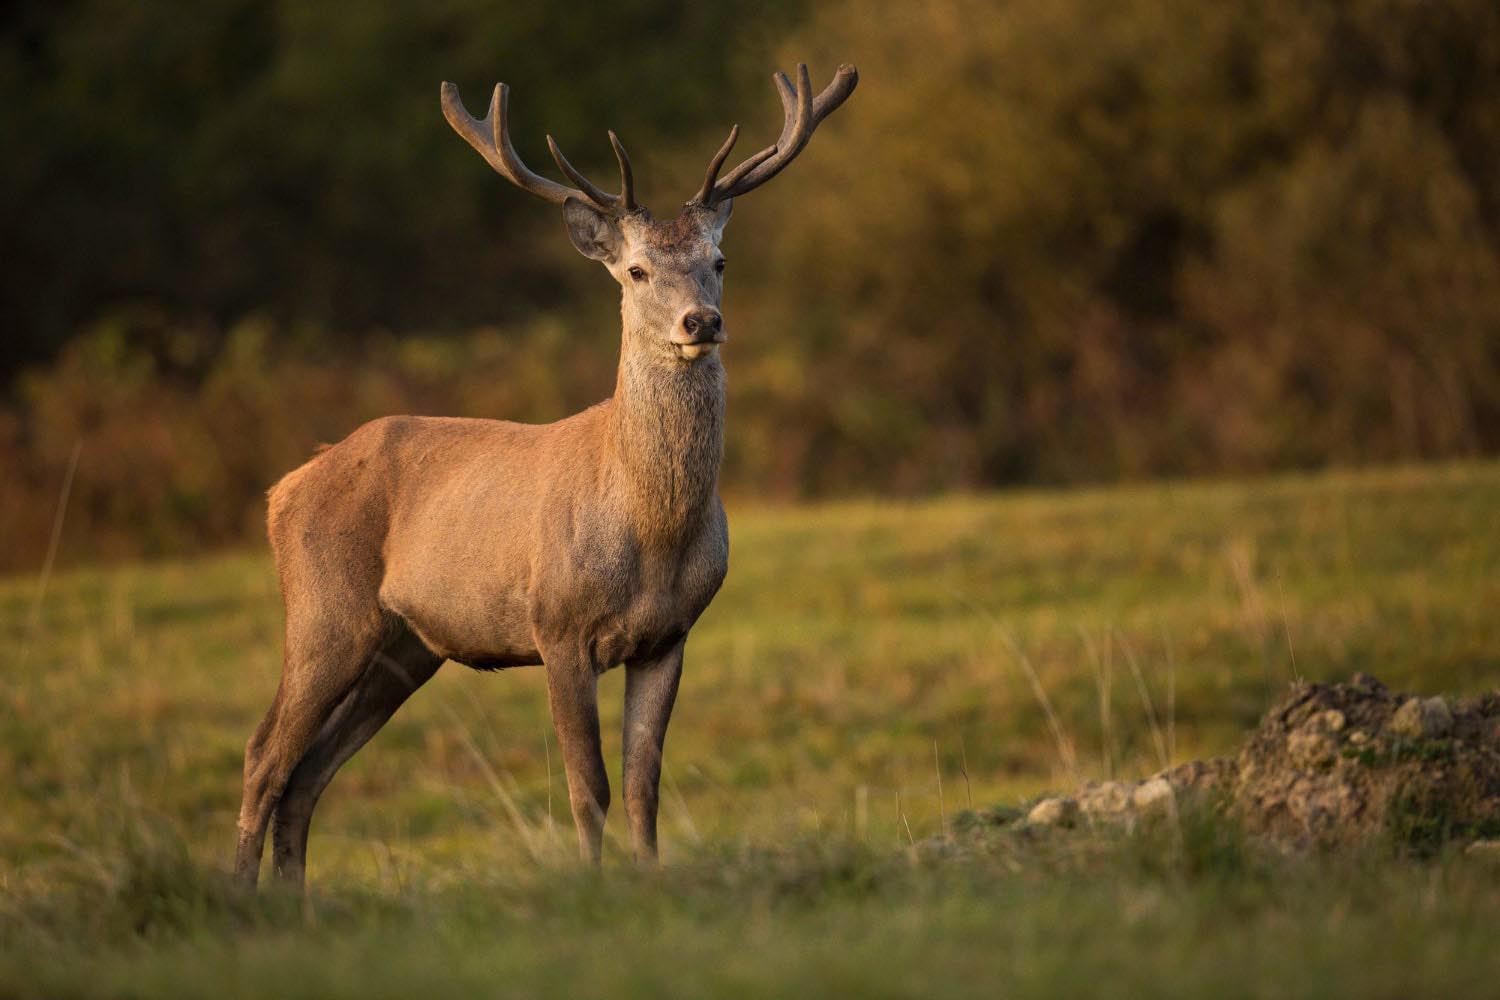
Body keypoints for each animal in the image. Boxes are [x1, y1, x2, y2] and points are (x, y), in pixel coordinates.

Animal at [235, 64, 864, 893]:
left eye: (719, 262)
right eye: (636, 270)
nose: (701, 322)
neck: (650, 530)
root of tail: (283, 488)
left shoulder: (670, 633)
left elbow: (643, 781)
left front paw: (649, 877)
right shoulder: (557, 626)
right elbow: (587, 783)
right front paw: (592, 885)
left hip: (405, 647)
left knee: (309, 771)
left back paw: (293, 902)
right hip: (323, 611)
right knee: (264, 754)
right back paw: (238, 895)